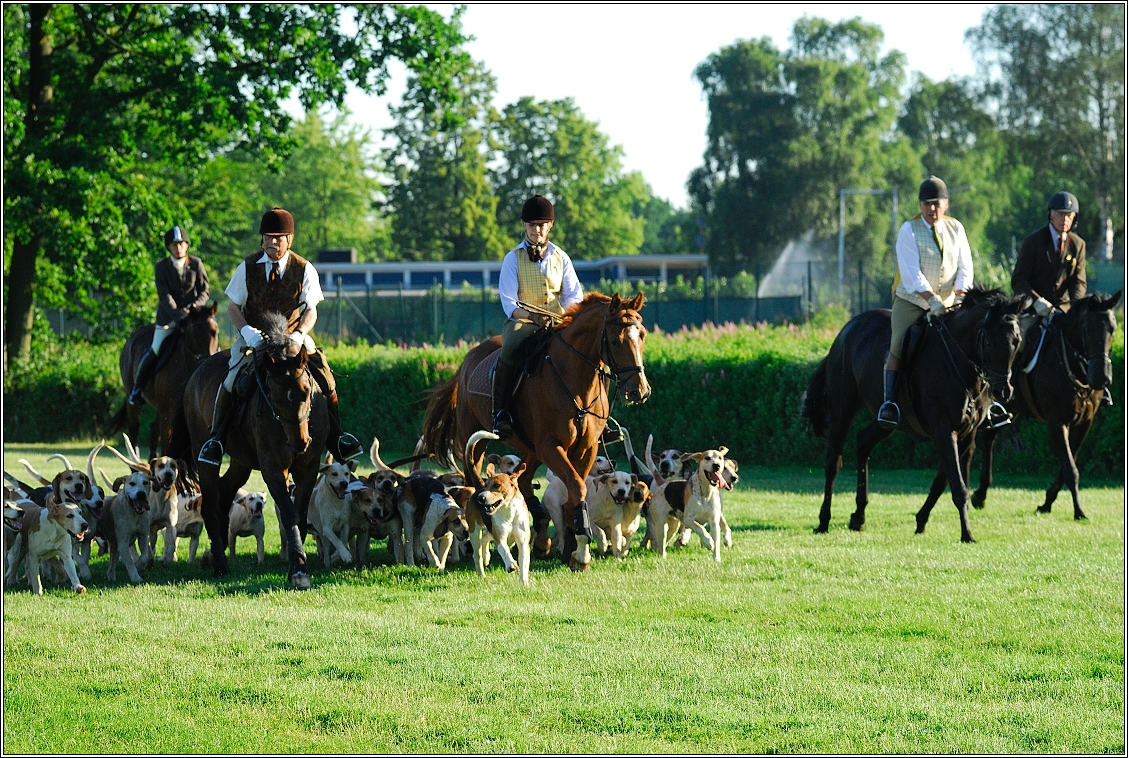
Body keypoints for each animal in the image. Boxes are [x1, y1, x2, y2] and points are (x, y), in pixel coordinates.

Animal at [113, 302, 218, 455]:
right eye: (193, 333)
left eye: (215, 332)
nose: (204, 363)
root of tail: (133, 337)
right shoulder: (168, 412)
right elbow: (167, 444)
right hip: (135, 400)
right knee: (134, 427)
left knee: (153, 430)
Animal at [166, 311, 329, 591]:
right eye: (274, 396)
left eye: (307, 391)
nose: (300, 443)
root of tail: (197, 371)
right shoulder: (273, 468)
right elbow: (289, 513)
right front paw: (299, 570)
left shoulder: (308, 468)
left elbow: (300, 513)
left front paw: (297, 563)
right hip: (204, 455)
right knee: (211, 505)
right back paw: (220, 565)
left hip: (241, 463)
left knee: (224, 496)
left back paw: (215, 553)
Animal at [421, 293, 654, 570]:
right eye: (617, 341)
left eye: (642, 335)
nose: (640, 391)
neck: (574, 381)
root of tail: (468, 360)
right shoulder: (550, 446)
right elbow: (577, 486)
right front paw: (582, 550)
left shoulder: (586, 448)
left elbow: (573, 492)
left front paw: (573, 549)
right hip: (477, 441)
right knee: (471, 483)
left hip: (530, 448)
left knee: (523, 481)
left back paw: (542, 538)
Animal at [803, 287, 1033, 541]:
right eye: (989, 342)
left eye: (1017, 341)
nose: (1004, 391)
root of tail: (847, 329)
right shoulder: (944, 430)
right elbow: (957, 485)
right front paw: (967, 534)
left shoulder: (966, 433)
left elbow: (943, 480)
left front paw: (921, 520)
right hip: (843, 409)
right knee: (833, 462)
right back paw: (824, 521)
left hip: (888, 421)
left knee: (863, 442)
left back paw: (858, 517)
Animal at [970, 291, 1118, 521]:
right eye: (1087, 329)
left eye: (1113, 328)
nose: (1101, 378)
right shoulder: (1057, 422)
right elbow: (1070, 468)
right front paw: (1079, 511)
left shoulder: (1084, 423)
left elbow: (1068, 464)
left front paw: (1047, 502)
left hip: (1013, 407)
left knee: (989, 437)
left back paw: (980, 495)